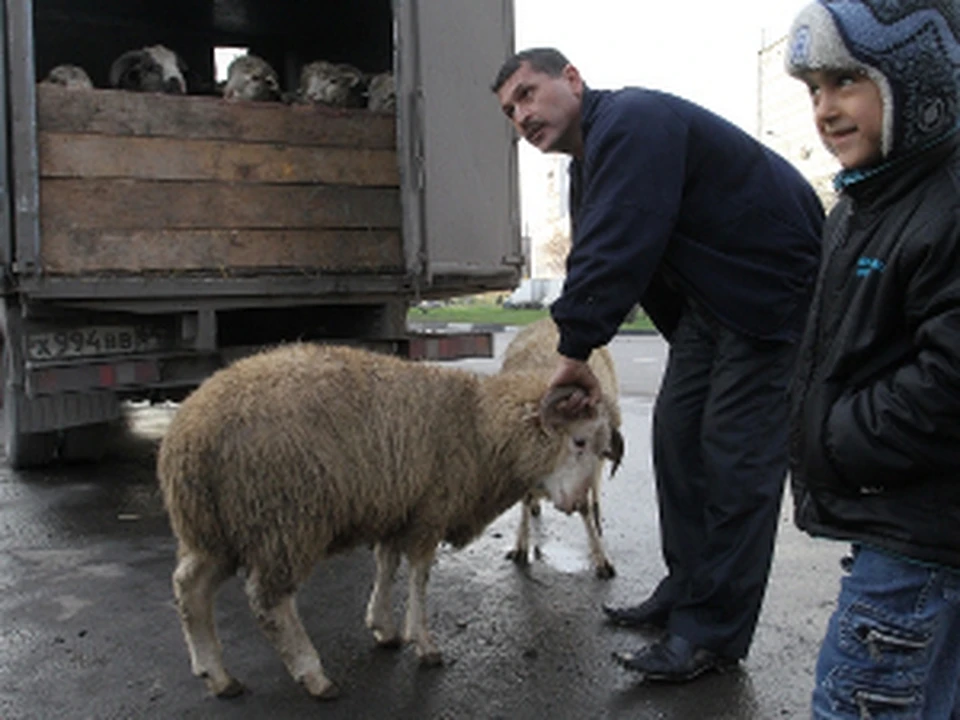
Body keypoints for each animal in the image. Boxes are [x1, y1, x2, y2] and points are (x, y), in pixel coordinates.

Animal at [156, 340, 624, 700]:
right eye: (578, 441)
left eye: (601, 448)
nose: (578, 503)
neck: (478, 424)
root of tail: (191, 434)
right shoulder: (431, 509)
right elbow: (418, 575)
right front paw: (424, 643)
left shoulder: (400, 508)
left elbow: (387, 564)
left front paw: (383, 626)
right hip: (282, 521)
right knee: (269, 603)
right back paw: (313, 674)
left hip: (214, 528)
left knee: (189, 588)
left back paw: (217, 675)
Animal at [498, 316, 628, 580]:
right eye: (579, 441)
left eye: (603, 451)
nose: (574, 504)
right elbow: (524, 500)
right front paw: (520, 546)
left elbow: (587, 510)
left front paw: (601, 557)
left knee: (595, 493)